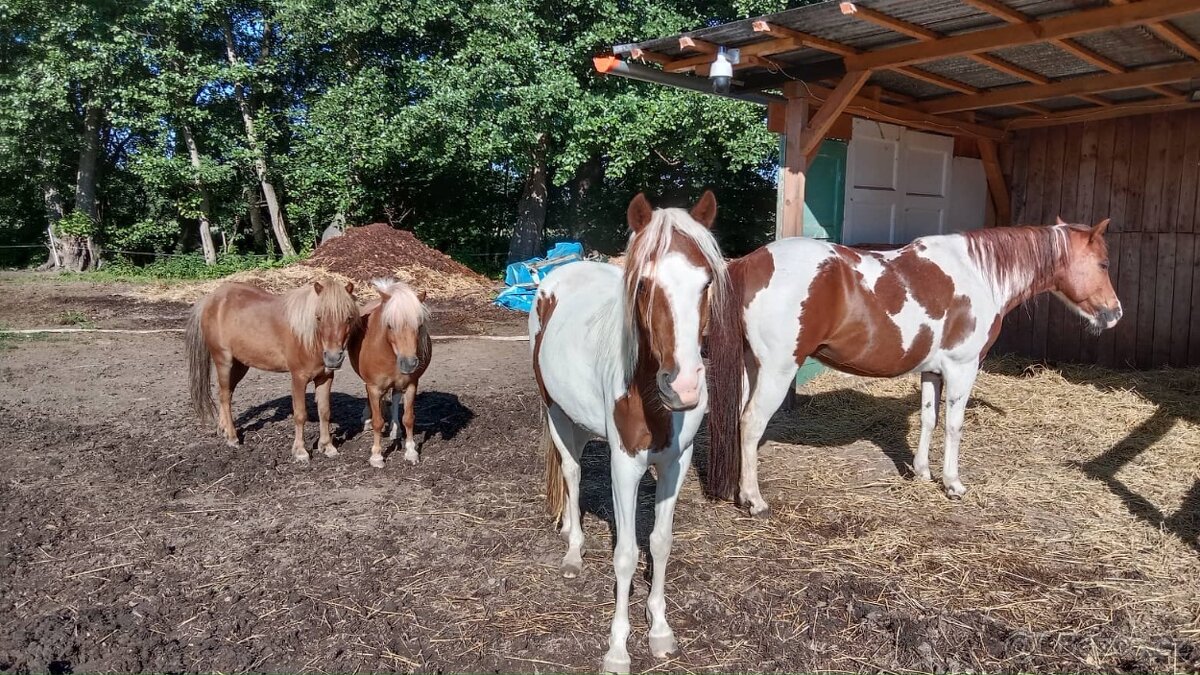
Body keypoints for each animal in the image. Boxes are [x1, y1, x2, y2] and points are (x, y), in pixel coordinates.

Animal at [184, 276, 357, 458]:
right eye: (318, 317)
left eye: (349, 317)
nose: (333, 358)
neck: (308, 338)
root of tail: (210, 299)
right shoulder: (299, 377)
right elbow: (300, 414)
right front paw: (300, 451)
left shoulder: (325, 377)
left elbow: (324, 412)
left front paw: (327, 446)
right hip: (224, 361)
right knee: (225, 396)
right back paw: (232, 438)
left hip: (240, 365)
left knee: (226, 393)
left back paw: (223, 429)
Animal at [348, 276, 432, 466]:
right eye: (390, 325)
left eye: (419, 325)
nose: (409, 363)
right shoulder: (374, 387)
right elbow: (378, 422)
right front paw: (377, 456)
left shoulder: (411, 385)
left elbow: (408, 418)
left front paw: (411, 452)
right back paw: (367, 420)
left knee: (394, 398)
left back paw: (395, 430)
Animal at [535, 190, 729, 672]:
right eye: (643, 284)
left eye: (706, 284)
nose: (684, 386)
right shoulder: (625, 465)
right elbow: (625, 554)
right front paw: (618, 649)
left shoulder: (676, 463)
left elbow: (659, 543)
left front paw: (659, 630)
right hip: (555, 411)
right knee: (571, 471)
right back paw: (573, 552)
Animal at [705, 218, 1118, 511]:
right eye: (1102, 263)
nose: (1115, 314)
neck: (978, 274)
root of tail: (750, 262)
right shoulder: (963, 368)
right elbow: (953, 426)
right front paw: (952, 483)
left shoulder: (933, 371)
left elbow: (929, 419)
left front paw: (921, 472)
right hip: (777, 370)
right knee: (751, 423)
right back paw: (754, 500)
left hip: (751, 367)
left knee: (737, 421)